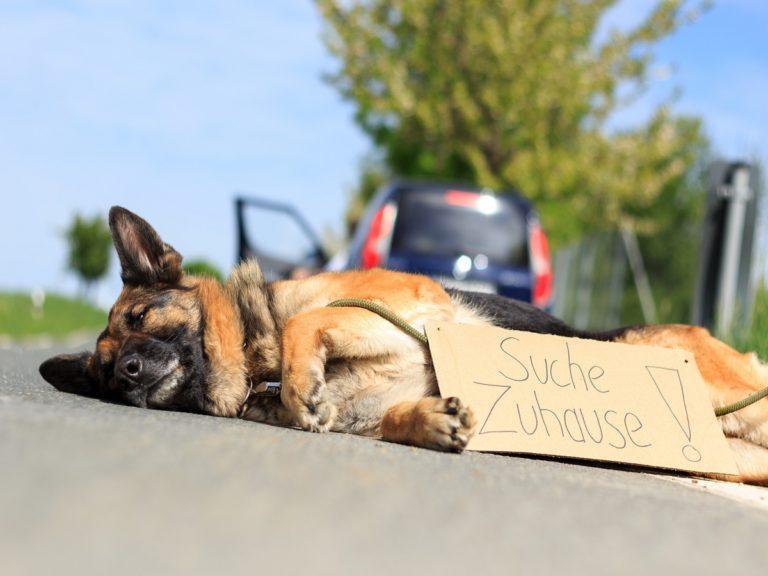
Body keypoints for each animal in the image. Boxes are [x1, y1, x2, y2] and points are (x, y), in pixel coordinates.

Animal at [42, 205, 768, 484]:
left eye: (141, 316)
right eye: (103, 374)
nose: (128, 371)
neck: (256, 363)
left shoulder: (399, 308)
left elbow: (307, 323)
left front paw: (302, 384)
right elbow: (389, 419)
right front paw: (429, 420)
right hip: (729, 458)